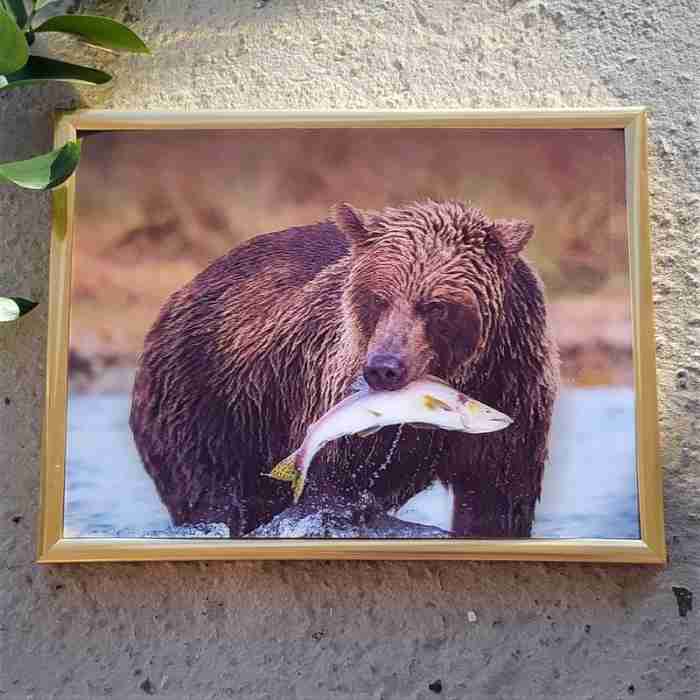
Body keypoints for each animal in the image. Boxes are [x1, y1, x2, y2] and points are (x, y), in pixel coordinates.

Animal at [129, 200, 559, 538]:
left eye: (436, 306)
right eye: (379, 298)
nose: (384, 368)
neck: (461, 374)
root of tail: (182, 291)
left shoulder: (514, 388)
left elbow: (497, 500)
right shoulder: (333, 390)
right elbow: (331, 491)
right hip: (208, 400)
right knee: (208, 492)